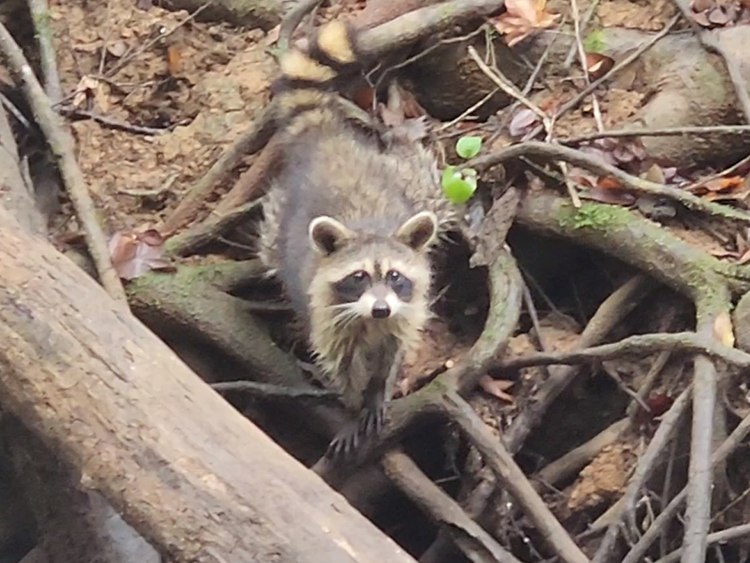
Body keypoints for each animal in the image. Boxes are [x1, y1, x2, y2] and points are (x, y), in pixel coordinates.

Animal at [256, 20, 462, 462]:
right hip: (277, 216)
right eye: (359, 277)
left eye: (396, 277)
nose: (381, 308)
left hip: (412, 182)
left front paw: (376, 393)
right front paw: (352, 407)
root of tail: (328, 141)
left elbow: (391, 356)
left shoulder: (406, 313)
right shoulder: (328, 315)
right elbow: (342, 367)